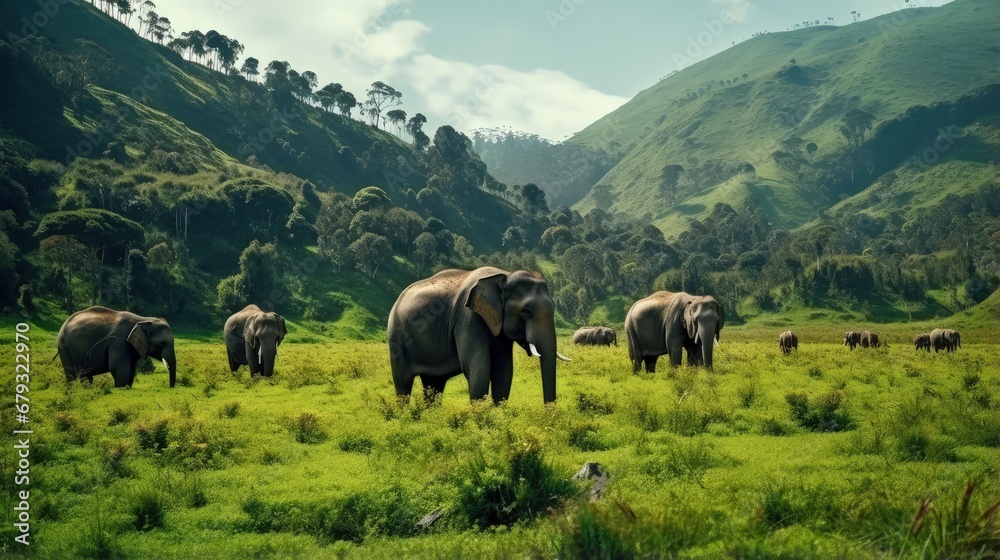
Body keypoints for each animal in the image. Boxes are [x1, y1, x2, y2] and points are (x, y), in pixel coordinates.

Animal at [387, 267, 571, 404]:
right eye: (526, 311)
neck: (505, 276)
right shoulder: (468, 319)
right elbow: (479, 369)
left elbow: (503, 372)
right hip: (397, 337)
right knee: (403, 384)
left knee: (434, 385)